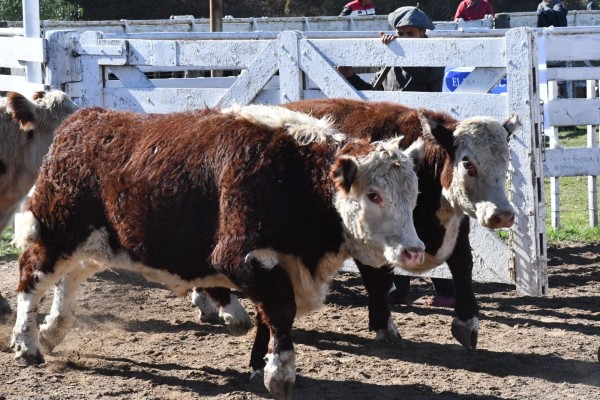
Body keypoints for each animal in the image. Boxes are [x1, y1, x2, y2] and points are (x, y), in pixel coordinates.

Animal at [11, 104, 428, 400]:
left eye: (413, 193)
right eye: (373, 194)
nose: (414, 251)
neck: (297, 178)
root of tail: (82, 121)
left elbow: (268, 317)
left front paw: (259, 365)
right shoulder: (241, 257)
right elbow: (280, 310)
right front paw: (280, 372)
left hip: (99, 244)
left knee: (69, 278)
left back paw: (52, 330)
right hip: (58, 232)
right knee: (32, 275)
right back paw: (27, 344)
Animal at [193, 98, 520, 352]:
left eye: (506, 162)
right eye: (468, 164)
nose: (503, 215)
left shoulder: (456, 225)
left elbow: (463, 266)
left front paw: (467, 323)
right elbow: (378, 278)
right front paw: (385, 327)